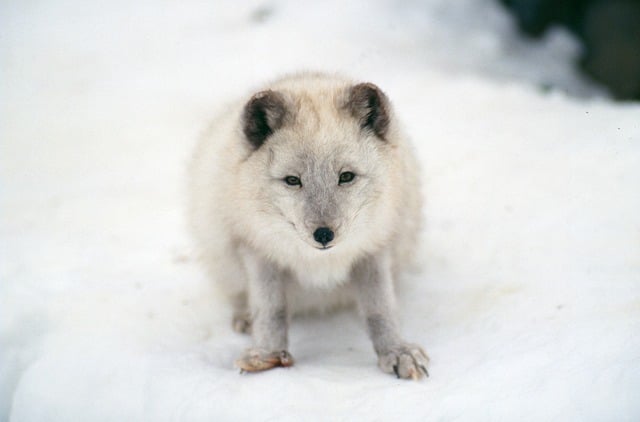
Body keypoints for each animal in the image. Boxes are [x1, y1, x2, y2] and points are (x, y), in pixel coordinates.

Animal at [188, 72, 428, 379]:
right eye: (292, 180)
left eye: (346, 176)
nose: (324, 234)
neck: (318, 262)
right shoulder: (257, 250)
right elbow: (271, 309)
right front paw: (266, 354)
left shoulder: (374, 250)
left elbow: (380, 309)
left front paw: (396, 352)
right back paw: (245, 317)